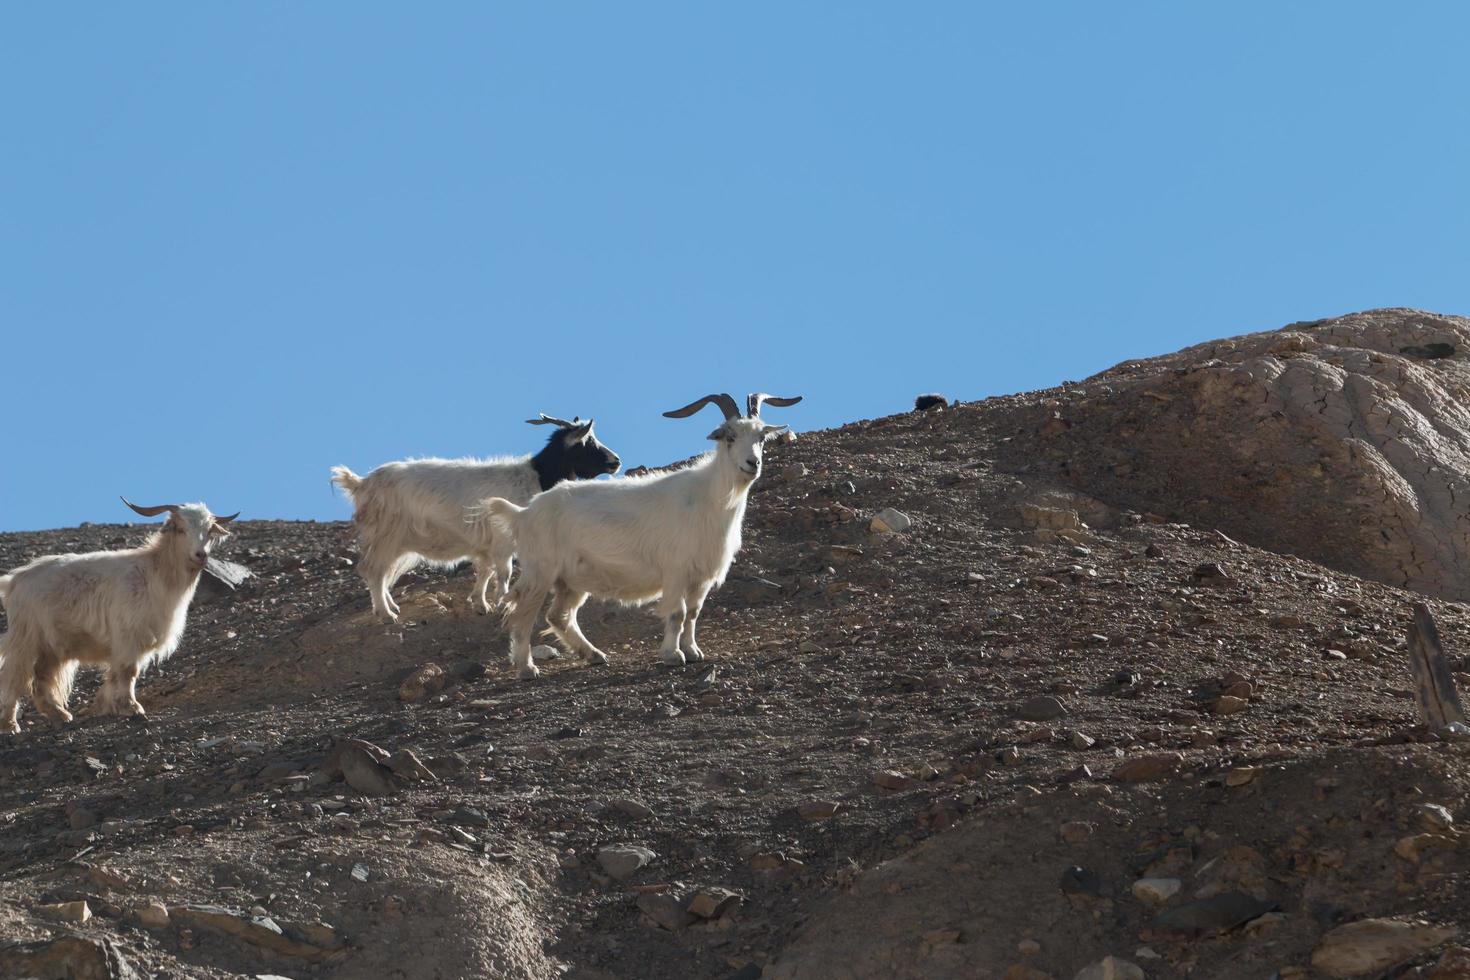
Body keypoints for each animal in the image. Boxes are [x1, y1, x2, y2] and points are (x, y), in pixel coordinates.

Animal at [0, 502, 238, 731]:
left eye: (209, 531)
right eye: (181, 529)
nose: (200, 555)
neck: (157, 573)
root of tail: (15, 580)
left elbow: (117, 674)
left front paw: (109, 706)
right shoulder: (128, 635)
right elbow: (128, 671)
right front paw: (131, 707)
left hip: (51, 647)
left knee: (41, 677)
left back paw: (59, 714)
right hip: (25, 639)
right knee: (13, 676)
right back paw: (10, 725)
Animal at [482, 387, 805, 675]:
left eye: (761, 437)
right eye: (730, 436)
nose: (753, 463)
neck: (709, 497)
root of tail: (523, 513)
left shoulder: (701, 576)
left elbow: (693, 613)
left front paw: (693, 651)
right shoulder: (675, 570)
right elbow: (677, 613)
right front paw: (673, 655)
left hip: (571, 580)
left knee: (559, 616)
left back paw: (594, 654)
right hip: (541, 571)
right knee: (522, 614)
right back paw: (526, 667)